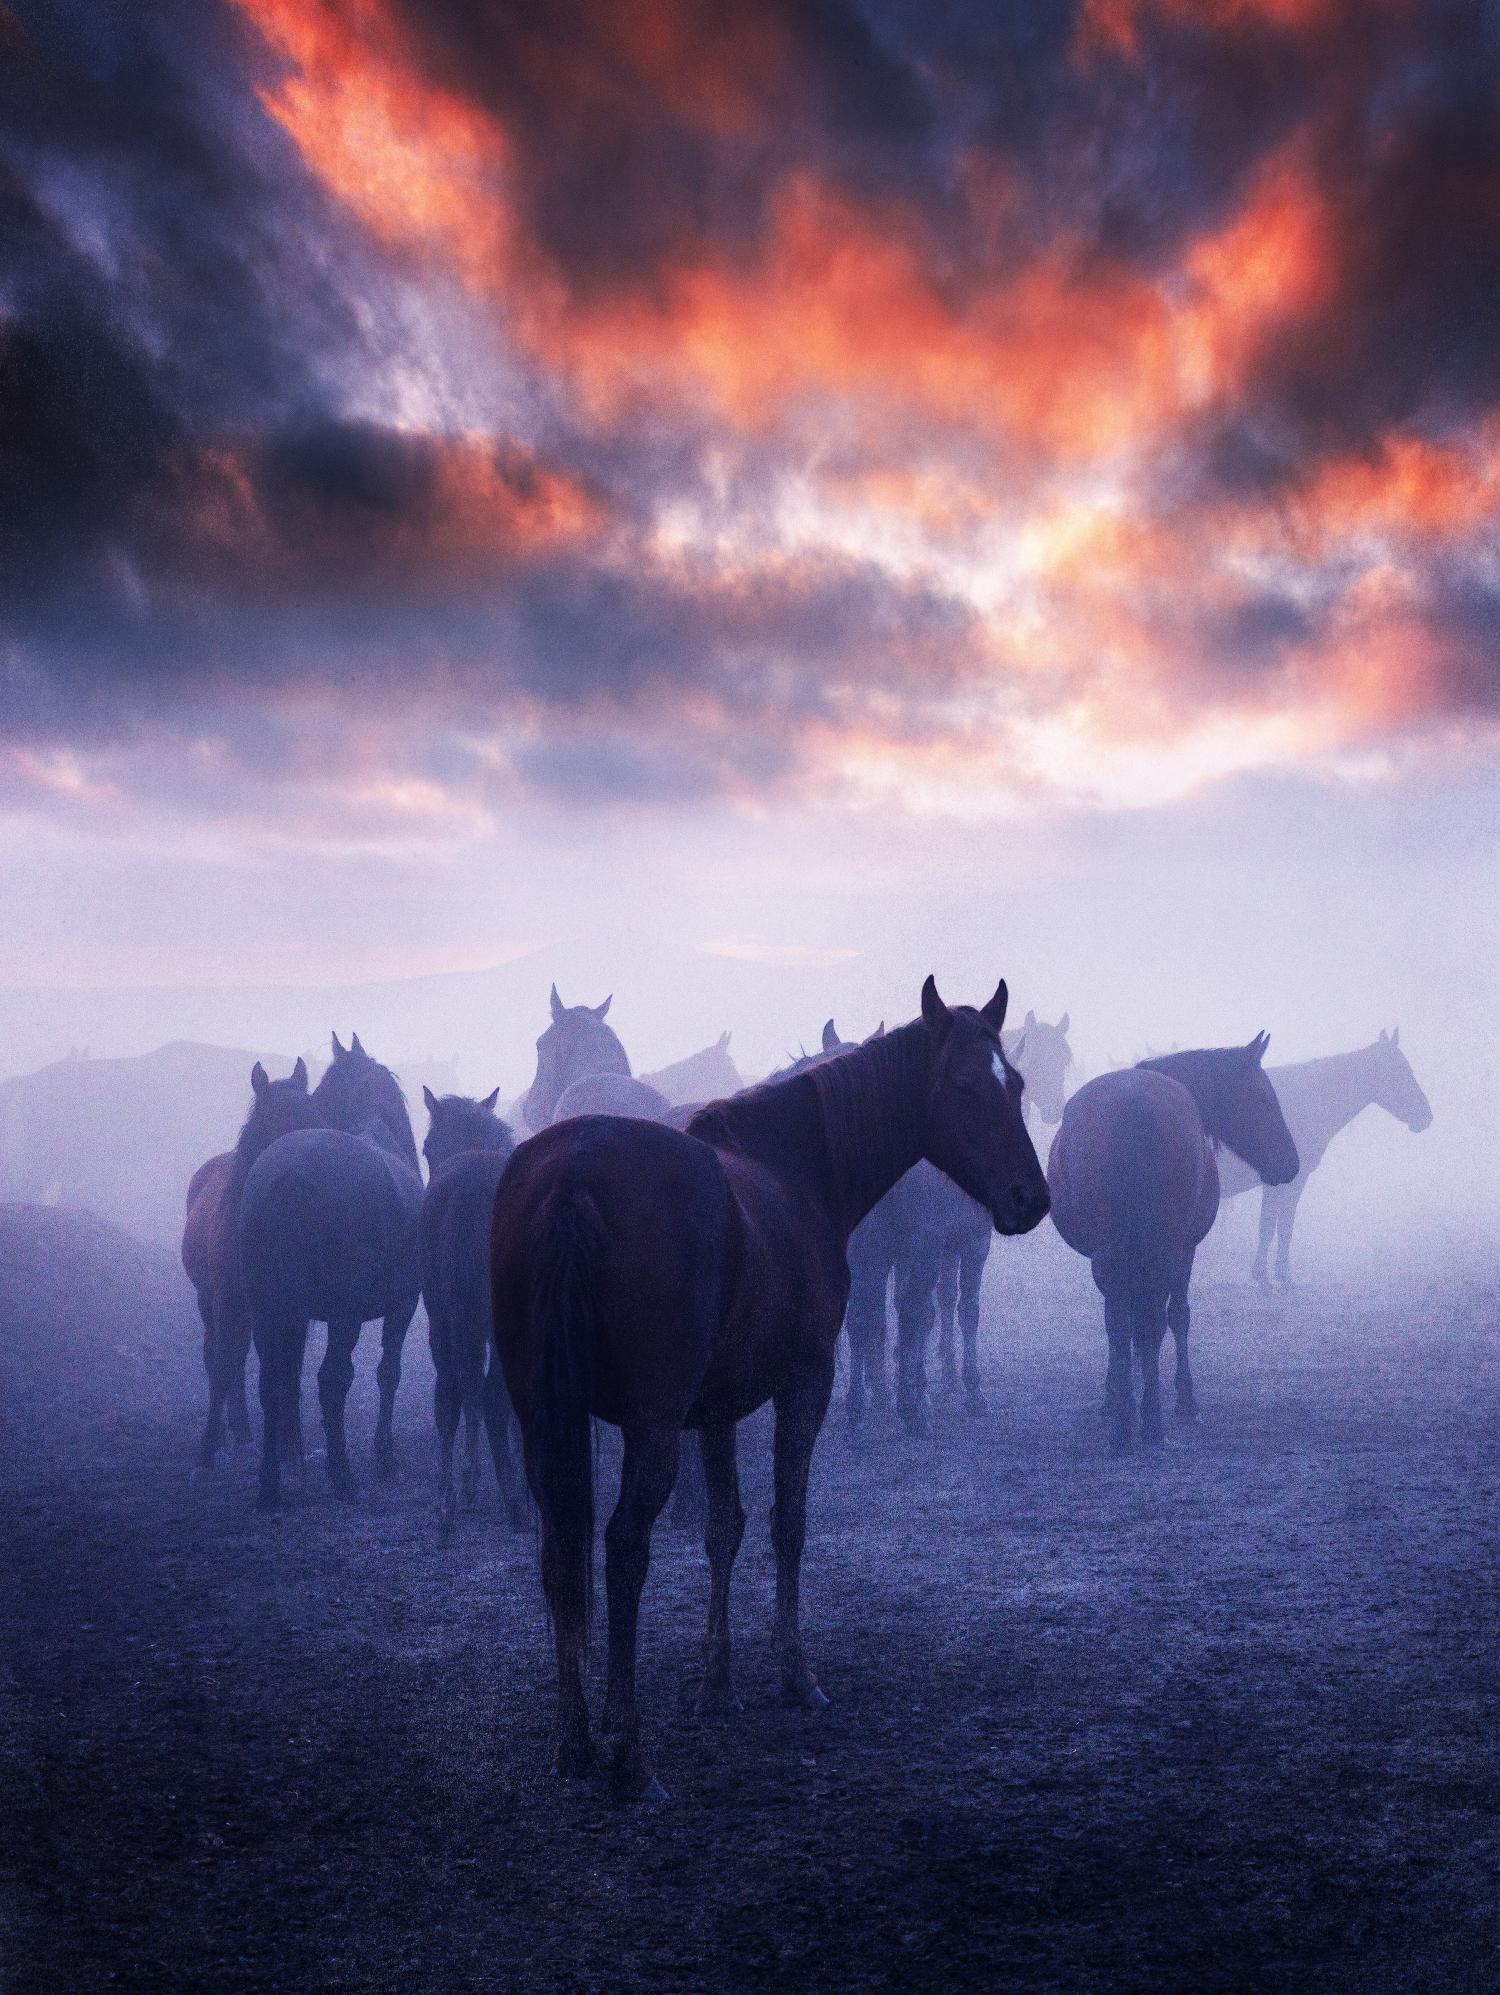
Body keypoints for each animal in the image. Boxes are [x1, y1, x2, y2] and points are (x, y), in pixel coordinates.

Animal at [180, 1058, 314, 1470]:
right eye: (274, 1122)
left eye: (315, 1116)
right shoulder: (226, 1302)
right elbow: (224, 1363)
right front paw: (208, 1447)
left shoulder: (291, 1306)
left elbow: (288, 1366)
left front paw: (290, 1445)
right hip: (211, 1301)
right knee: (222, 1357)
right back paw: (231, 1432)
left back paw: (243, 1431)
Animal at [240, 1036, 423, 1508]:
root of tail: (290, 1176)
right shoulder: (403, 1305)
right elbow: (388, 1373)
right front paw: (384, 1456)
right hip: (344, 1316)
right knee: (332, 1380)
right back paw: (341, 1474)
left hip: (267, 1309)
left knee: (271, 1383)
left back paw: (269, 1484)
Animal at [491, 975, 1049, 1801]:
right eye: (963, 1085)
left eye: (1015, 1082)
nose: (1029, 1197)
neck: (794, 1163)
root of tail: (572, 1176)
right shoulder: (803, 1380)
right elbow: (789, 1520)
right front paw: (795, 1672)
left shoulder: (718, 1406)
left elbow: (726, 1525)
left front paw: (716, 1681)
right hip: (648, 1428)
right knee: (622, 1549)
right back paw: (628, 1753)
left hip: (545, 1420)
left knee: (561, 1552)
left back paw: (573, 1741)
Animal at [1047, 1035, 1299, 1453]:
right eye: (1263, 1097)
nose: (1291, 1163)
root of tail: (1132, 1114)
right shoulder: (1185, 1250)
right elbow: (1177, 1317)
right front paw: (1184, 1400)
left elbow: (1127, 1326)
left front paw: (1117, 1393)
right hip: (1162, 1250)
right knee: (1152, 1321)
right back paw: (1150, 1420)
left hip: (1114, 1253)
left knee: (1122, 1322)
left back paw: (1127, 1422)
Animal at [1214, 1029, 1432, 1283]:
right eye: (1400, 1071)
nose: (1427, 1116)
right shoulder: (1284, 1180)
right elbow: (1275, 1225)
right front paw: (1274, 1276)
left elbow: (1278, 1226)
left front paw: (1269, 1273)